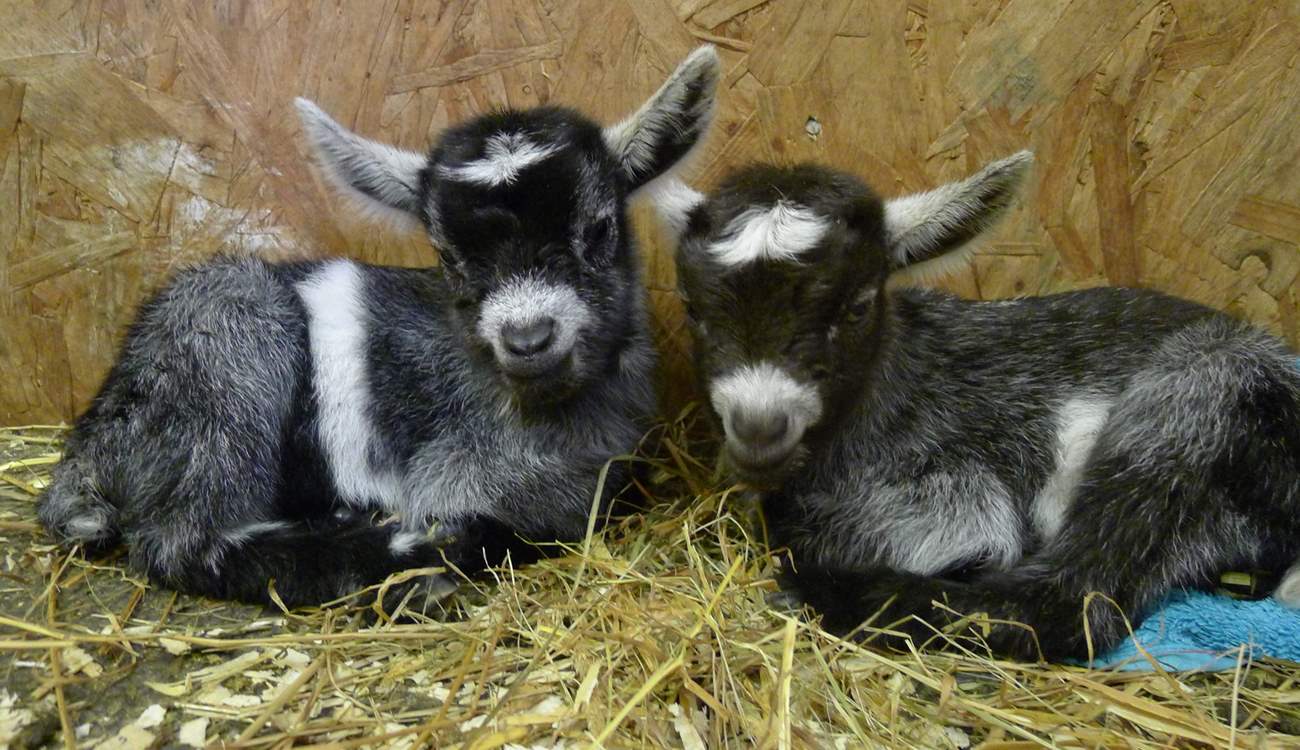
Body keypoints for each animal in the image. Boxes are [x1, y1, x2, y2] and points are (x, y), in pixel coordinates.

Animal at [37, 46, 721, 610]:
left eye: (598, 230)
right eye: (447, 256)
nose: (528, 339)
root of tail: (90, 449)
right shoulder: (449, 476)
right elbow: (505, 522)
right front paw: (438, 545)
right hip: (229, 365)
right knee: (182, 540)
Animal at [651, 155, 1300, 660]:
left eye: (857, 305)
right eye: (691, 306)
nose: (759, 428)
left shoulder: (958, 491)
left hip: (1194, 402)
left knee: (1076, 600)